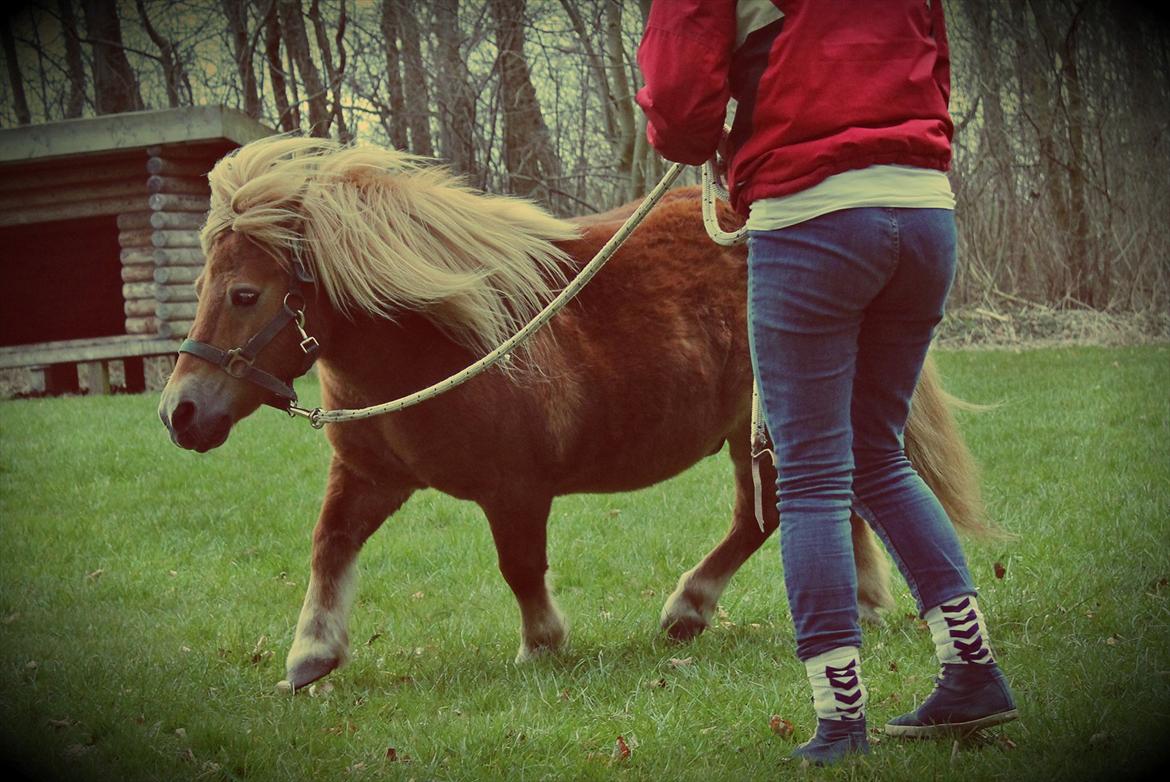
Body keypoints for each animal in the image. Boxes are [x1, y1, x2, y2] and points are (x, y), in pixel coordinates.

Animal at [157, 137, 987, 693]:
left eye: (244, 295)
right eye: (201, 286)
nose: (178, 412)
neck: (437, 341)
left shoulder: (515, 489)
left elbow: (520, 566)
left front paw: (543, 643)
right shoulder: (370, 476)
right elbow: (329, 545)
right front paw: (312, 652)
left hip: (765, 426)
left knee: (771, 515)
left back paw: (691, 607)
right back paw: (864, 601)